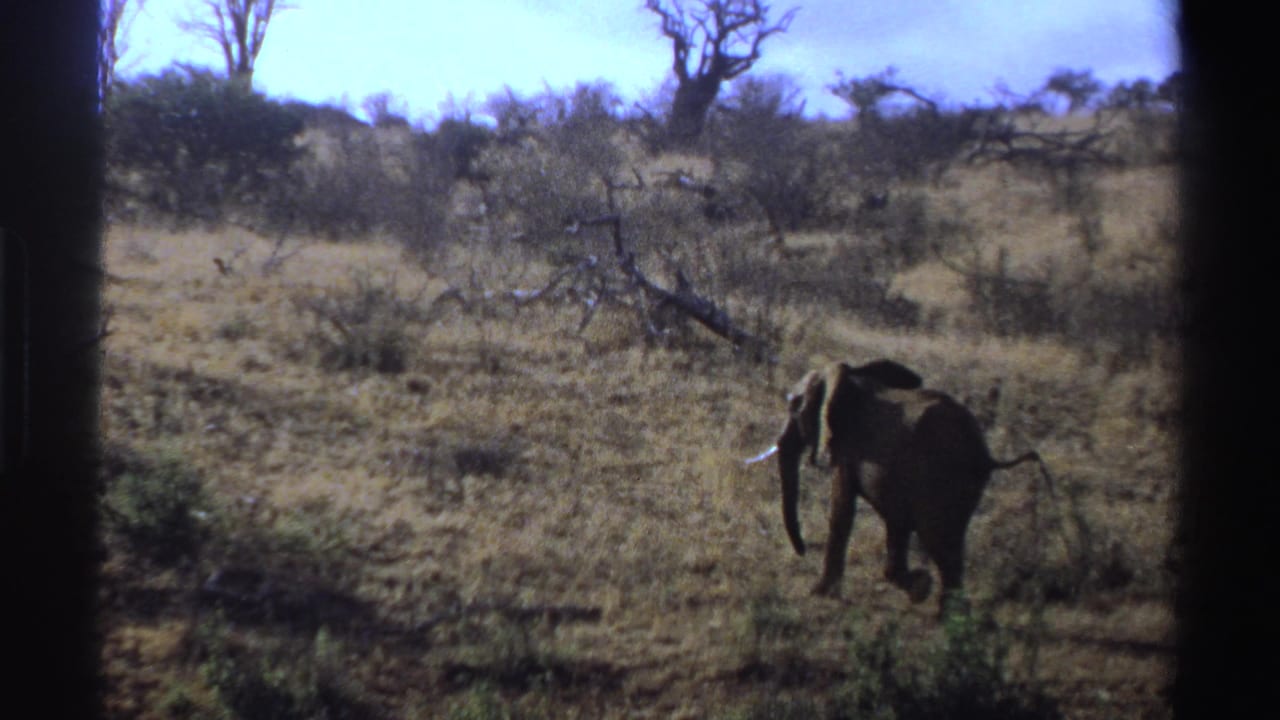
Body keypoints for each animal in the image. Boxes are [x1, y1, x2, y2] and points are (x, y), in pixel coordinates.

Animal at [748, 359, 1040, 613]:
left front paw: (819, 593)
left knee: (938, 542)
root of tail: (984, 455)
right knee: (950, 542)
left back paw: (948, 618)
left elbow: (842, 508)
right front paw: (917, 587)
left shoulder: (849, 446)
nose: (803, 550)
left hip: (941, 479)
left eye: (794, 406)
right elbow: (895, 520)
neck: (851, 376)